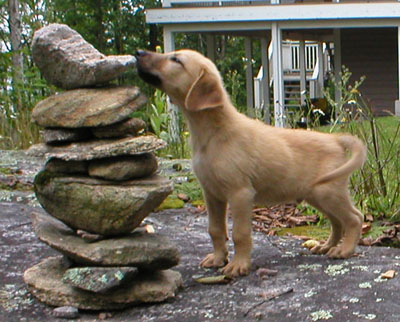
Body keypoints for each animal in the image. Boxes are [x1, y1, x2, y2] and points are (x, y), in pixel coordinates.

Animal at [136, 49, 368, 276]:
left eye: (176, 60)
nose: (138, 53)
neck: (213, 134)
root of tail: (336, 139)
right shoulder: (211, 194)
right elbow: (215, 230)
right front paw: (218, 258)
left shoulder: (240, 193)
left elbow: (240, 233)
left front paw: (238, 265)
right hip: (317, 194)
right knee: (337, 221)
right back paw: (327, 246)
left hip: (328, 191)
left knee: (354, 218)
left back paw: (345, 250)